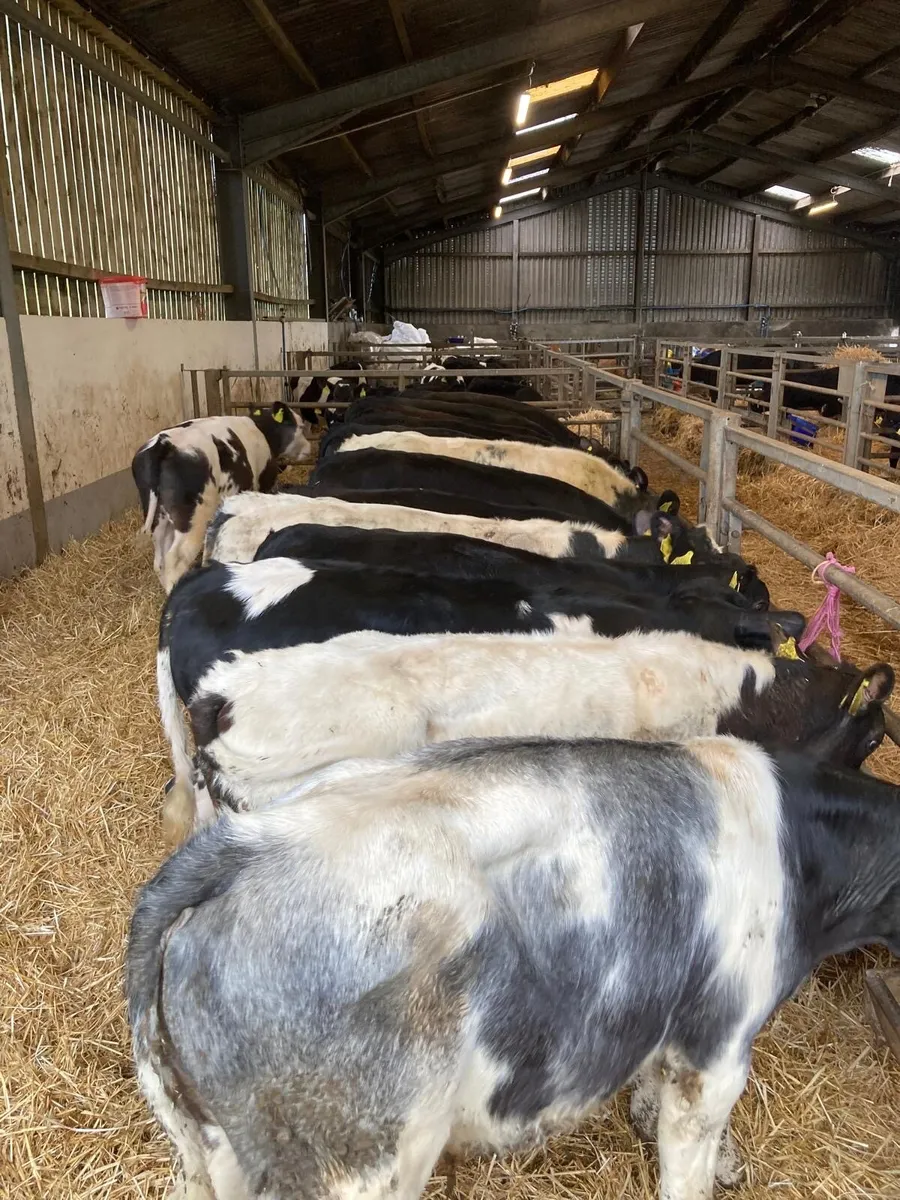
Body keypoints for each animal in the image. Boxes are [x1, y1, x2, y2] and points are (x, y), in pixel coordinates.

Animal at [127, 734, 900, 1200]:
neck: (802, 851)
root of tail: (247, 843)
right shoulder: (718, 1048)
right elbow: (688, 1164)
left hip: (214, 1146)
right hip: (363, 1160)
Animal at [131, 406, 310, 593]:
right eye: (300, 426)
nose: (309, 448)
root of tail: (163, 443)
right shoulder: (263, 485)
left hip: (159, 514)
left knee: (160, 555)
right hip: (193, 518)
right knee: (175, 559)